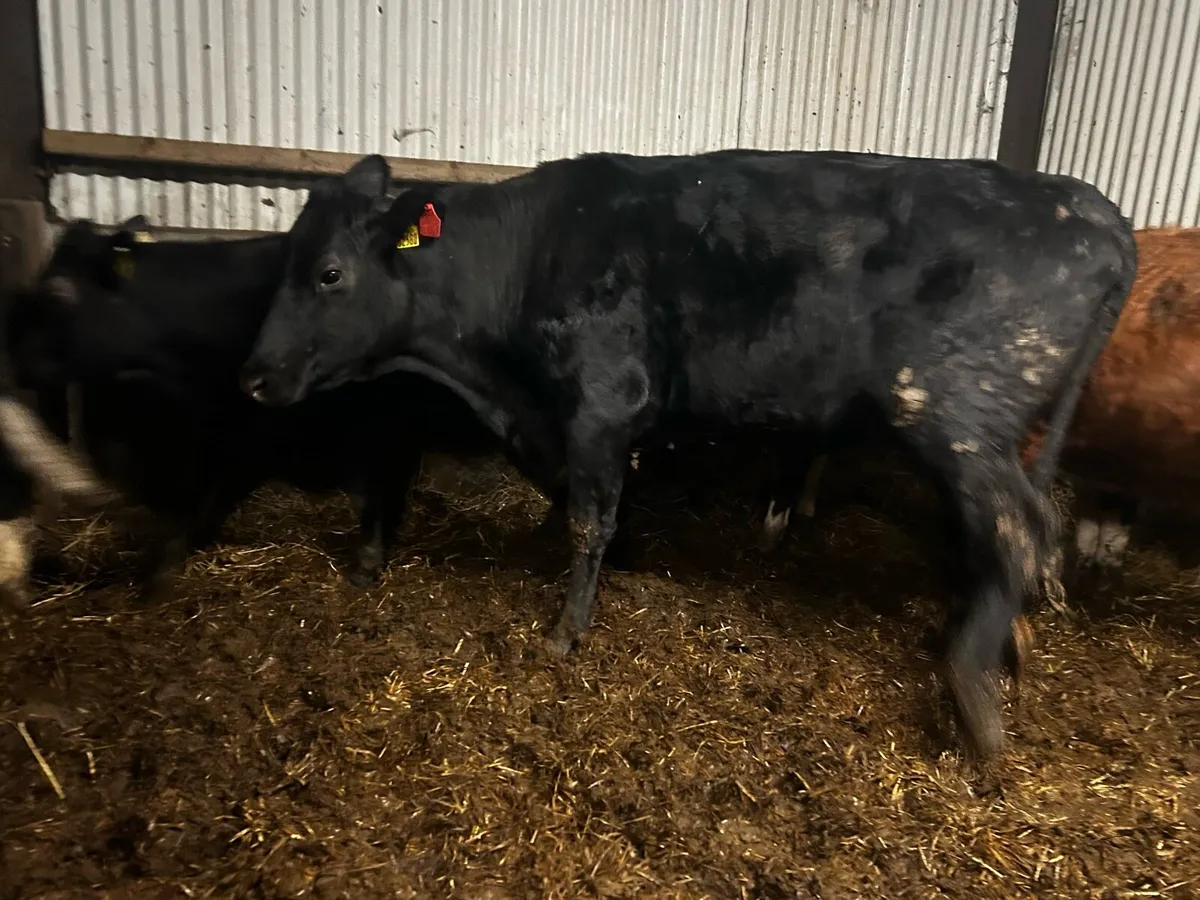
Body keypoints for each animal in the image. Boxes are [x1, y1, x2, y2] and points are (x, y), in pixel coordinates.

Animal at [239, 150, 1136, 760]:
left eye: (329, 273)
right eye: (281, 261)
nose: (253, 375)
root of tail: (1091, 206)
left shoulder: (601, 403)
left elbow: (587, 518)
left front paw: (566, 634)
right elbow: (589, 505)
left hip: (954, 411)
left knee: (1019, 530)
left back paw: (974, 697)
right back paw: (1005, 647)